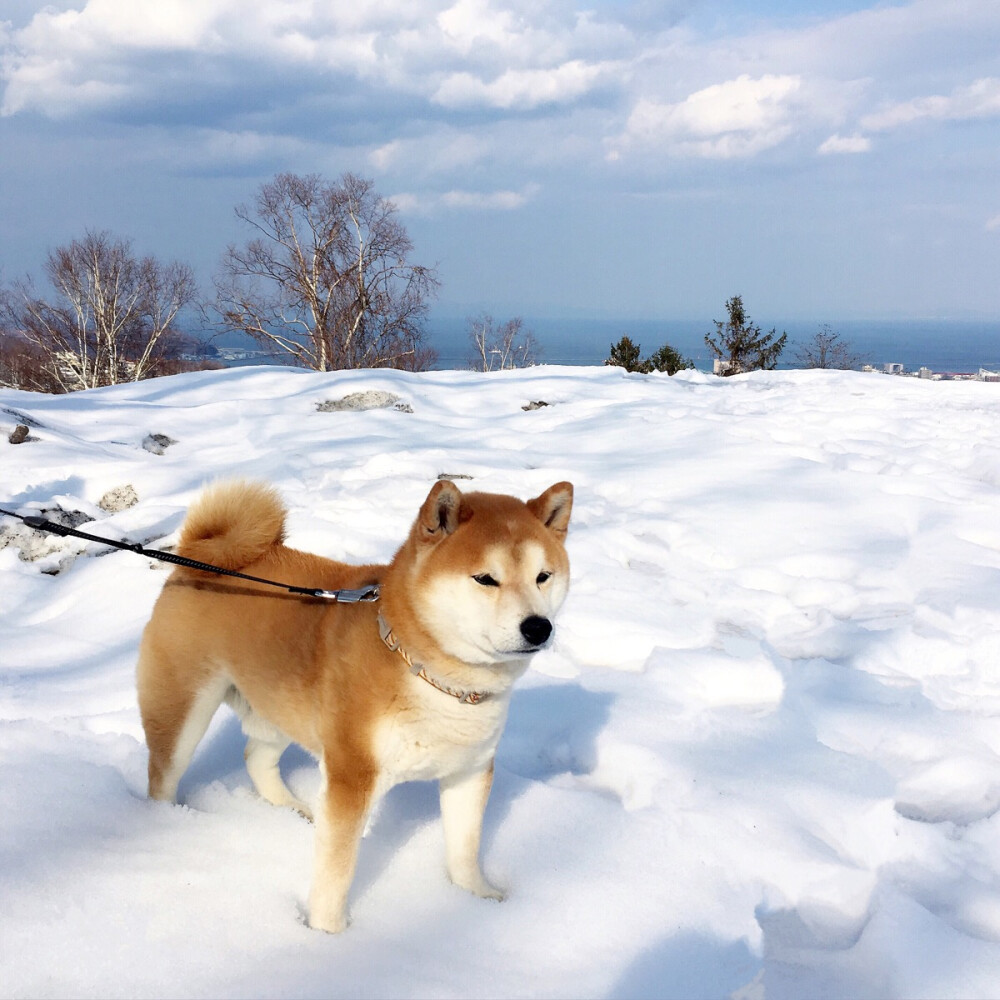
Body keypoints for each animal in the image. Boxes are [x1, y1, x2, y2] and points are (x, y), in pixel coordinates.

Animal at [135, 476, 572, 928]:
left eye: (543, 576)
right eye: (485, 579)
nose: (538, 627)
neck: (431, 675)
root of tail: (200, 555)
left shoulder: (469, 770)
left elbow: (465, 848)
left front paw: (477, 897)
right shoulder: (353, 774)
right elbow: (338, 870)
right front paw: (328, 933)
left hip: (281, 701)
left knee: (256, 756)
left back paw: (290, 808)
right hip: (184, 708)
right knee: (164, 772)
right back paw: (165, 820)